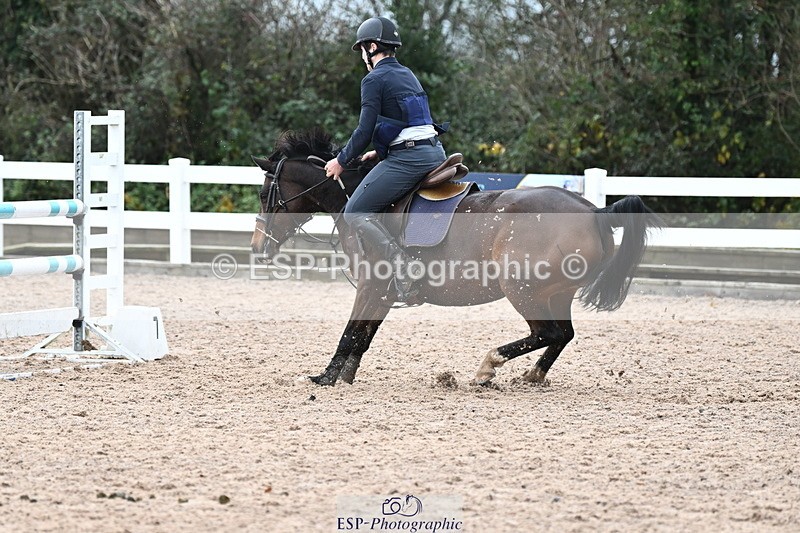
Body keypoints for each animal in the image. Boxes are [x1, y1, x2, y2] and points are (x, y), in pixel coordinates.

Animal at [250, 129, 662, 386]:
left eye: (264, 193)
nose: (258, 247)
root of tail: (593, 211)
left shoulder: (369, 287)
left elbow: (350, 333)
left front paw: (325, 378)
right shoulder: (382, 291)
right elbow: (362, 338)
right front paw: (345, 378)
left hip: (522, 290)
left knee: (548, 332)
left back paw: (488, 367)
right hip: (556, 293)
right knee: (563, 334)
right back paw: (532, 376)